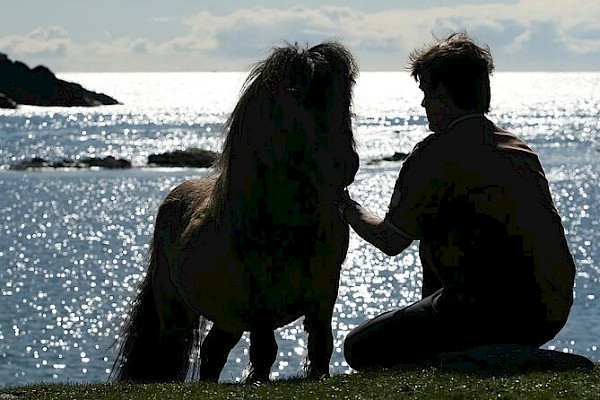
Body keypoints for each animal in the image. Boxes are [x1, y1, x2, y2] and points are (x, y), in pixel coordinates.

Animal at [110, 42, 358, 382]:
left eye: (346, 98)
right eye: (303, 98)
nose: (345, 166)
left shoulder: (325, 292)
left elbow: (321, 345)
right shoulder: (260, 302)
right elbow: (265, 352)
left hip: (229, 318)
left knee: (213, 352)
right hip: (174, 307)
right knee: (171, 350)